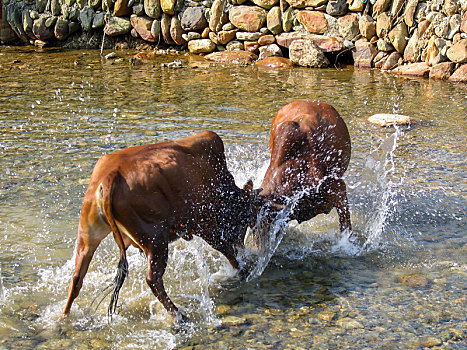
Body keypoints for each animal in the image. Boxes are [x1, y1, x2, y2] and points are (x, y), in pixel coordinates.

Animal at [62, 131, 262, 320]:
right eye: (246, 219)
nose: (243, 247)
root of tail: (109, 176)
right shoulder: (204, 221)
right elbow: (226, 250)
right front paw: (244, 271)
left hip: (88, 235)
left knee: (77, 278)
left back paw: (64, 316)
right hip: (155, 239)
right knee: (153, 280)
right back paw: (179, 315)